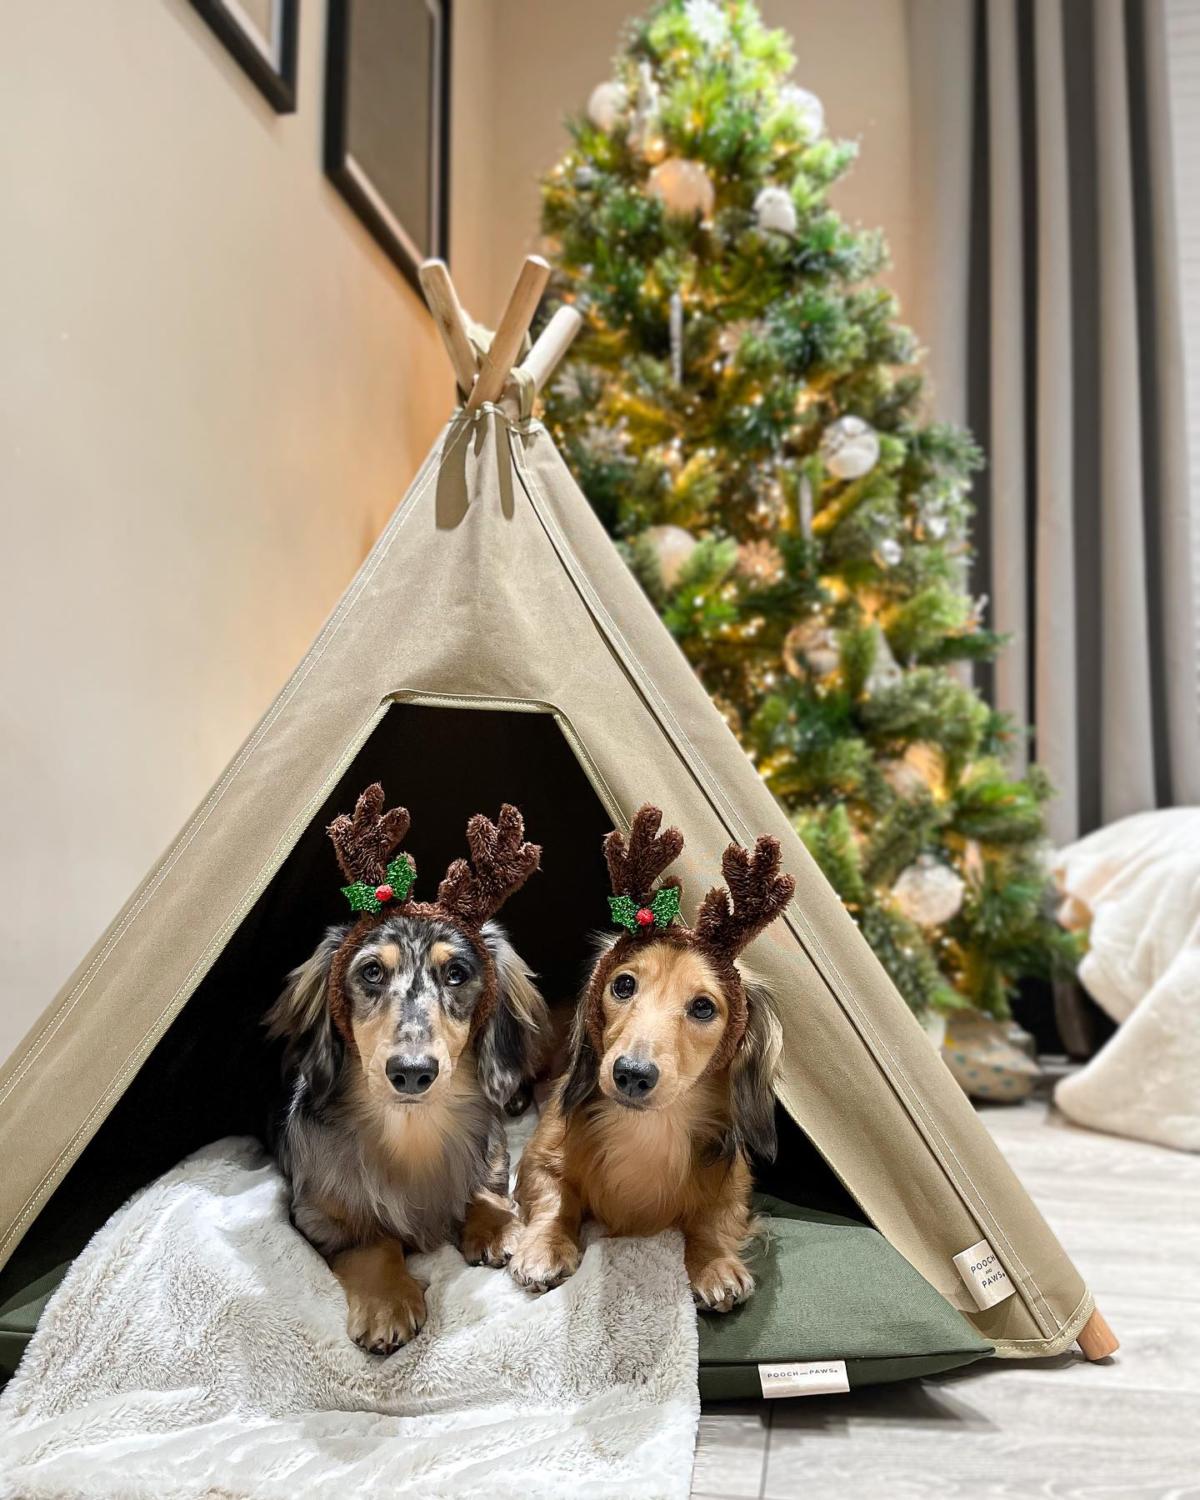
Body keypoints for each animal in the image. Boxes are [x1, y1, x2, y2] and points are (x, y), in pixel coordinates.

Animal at [270, 792, 546, 1356]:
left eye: (457, 974)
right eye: (372, 972)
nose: (413, 1073)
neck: (410, 1133)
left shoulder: (490, 1151)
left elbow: (482, 1185)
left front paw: (498, 1226)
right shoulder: (314, 1215)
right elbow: (371, 1241)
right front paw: (387, 1303)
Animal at [510, 810, 792, 1314]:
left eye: (703, 1007)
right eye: (623, 985)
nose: (631, 1075)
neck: (648, 1128)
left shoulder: (734, 1184)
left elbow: (714, 1220)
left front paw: (714, 1264)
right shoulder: (539, 1157)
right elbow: (553, 1197)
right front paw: (544, 1247)